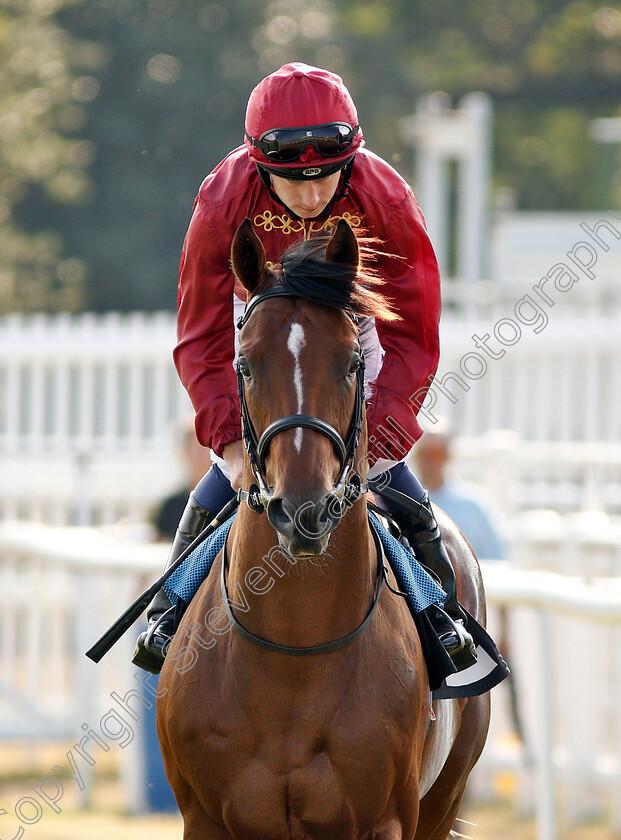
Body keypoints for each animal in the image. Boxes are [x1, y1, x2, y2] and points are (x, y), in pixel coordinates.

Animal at [157, 220, 492, 840]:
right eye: (244, 365)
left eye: (352, 362)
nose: (303, 510)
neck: (295, 649)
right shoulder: (206, 818)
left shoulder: (383, 819)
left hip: (445, 796)